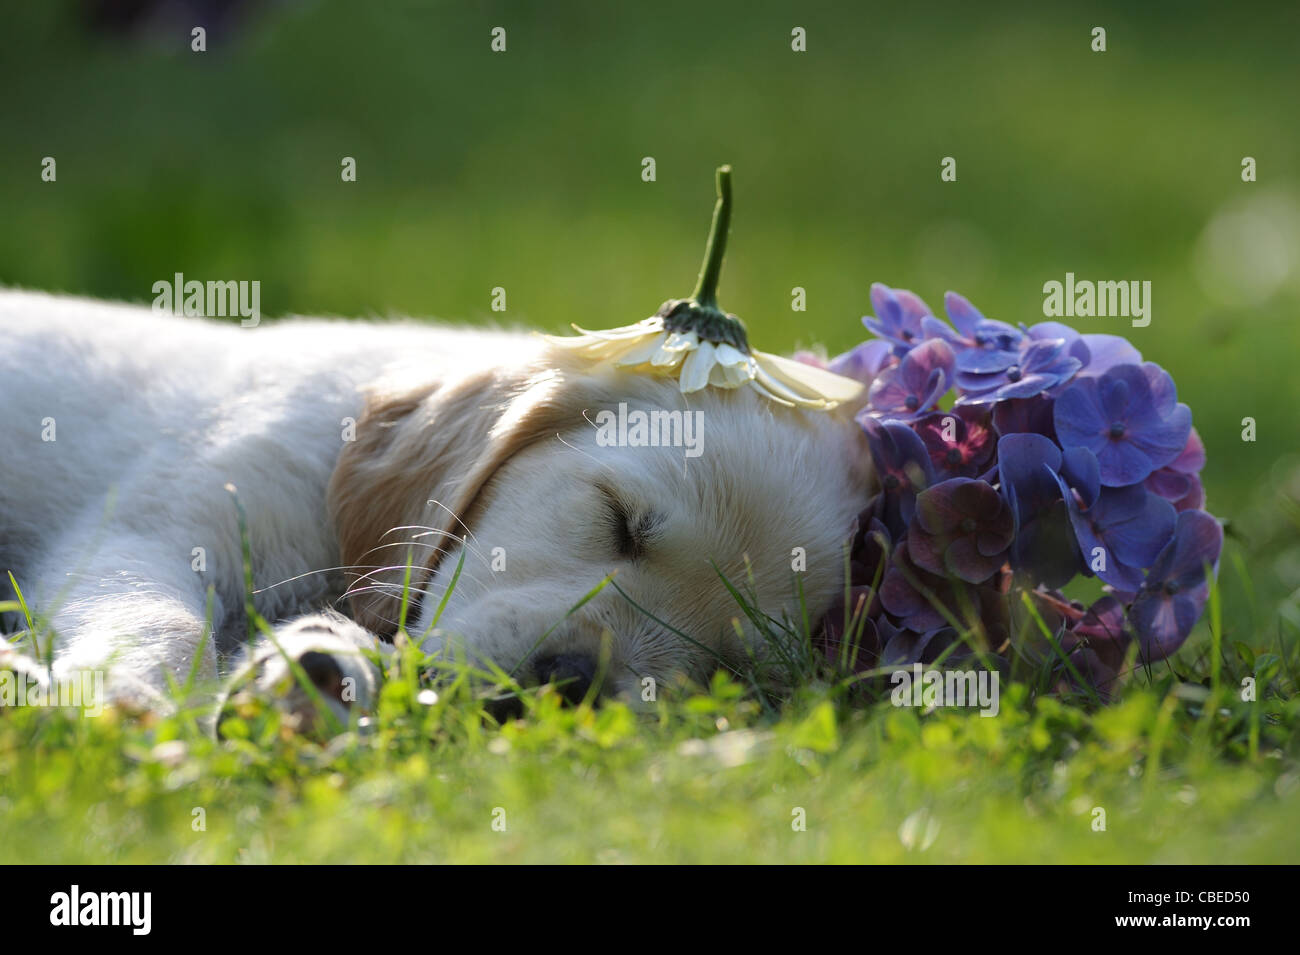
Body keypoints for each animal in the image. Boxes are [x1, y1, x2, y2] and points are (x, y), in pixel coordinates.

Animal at [2, 287, 873, 722]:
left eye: (734, 667)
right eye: (615, 518)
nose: (567, 686)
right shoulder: (152, 528)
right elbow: (166, 619)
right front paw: (123, 694)